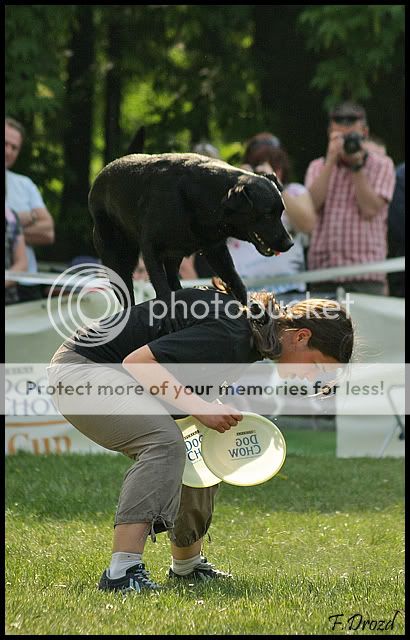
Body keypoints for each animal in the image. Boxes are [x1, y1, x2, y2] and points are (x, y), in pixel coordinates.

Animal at [89, 153, 293, 318]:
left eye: (281, 212)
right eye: (267, 214)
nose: (289, 244)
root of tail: (98, 180)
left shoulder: (215, 249)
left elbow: (235, 280)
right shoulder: (150, 248)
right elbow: (161, 286)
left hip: (175, 253)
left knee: (173, 278)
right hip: (118, 257)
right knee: (128, 296)